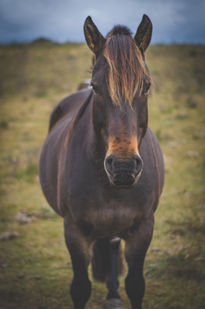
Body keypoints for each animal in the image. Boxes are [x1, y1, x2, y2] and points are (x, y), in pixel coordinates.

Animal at [39, 14, 165, 308]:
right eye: (96, 87)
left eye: (146, 86)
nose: (123, 167)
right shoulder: (74, 232)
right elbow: (80, 288)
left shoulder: (143, 230)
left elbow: (136, 285)